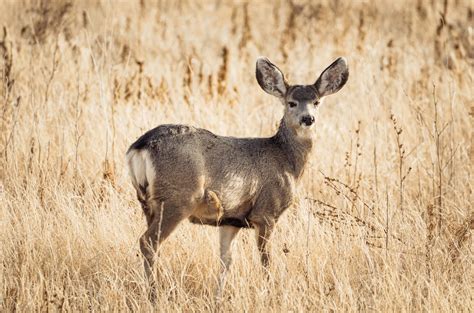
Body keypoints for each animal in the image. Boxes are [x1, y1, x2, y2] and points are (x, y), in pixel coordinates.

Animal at [126, 56, 348, 300]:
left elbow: (226, 261)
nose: (308, 118)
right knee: (148, 242)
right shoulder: (266, 211)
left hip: (147, 202)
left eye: (316, 102)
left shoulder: (230, 220)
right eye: (291, 103)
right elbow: (266, 260)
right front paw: (271, 292)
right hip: (178, 198)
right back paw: (154, 296)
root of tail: (140, 146)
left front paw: (218, 298)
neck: (285, 160)